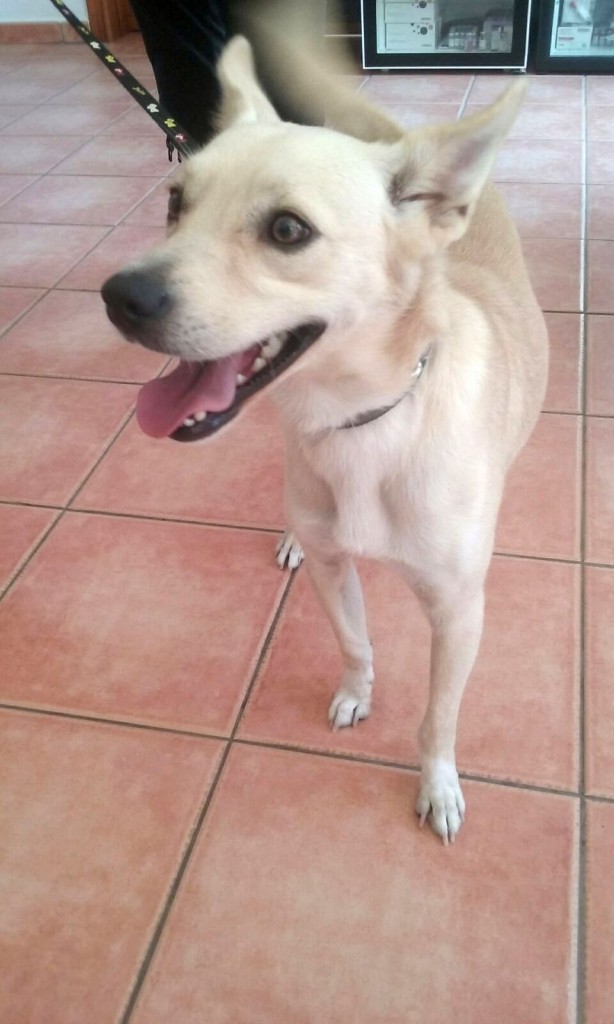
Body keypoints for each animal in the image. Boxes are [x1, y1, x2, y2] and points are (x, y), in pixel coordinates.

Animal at [101, 37, 548, 844]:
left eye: (287, 230)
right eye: (176, 203)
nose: (120, 297)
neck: (363, 426)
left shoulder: (459, 613)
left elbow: (439, 719)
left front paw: (438, 784)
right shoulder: (334, 568)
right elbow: (353, 642)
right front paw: (356, 693)